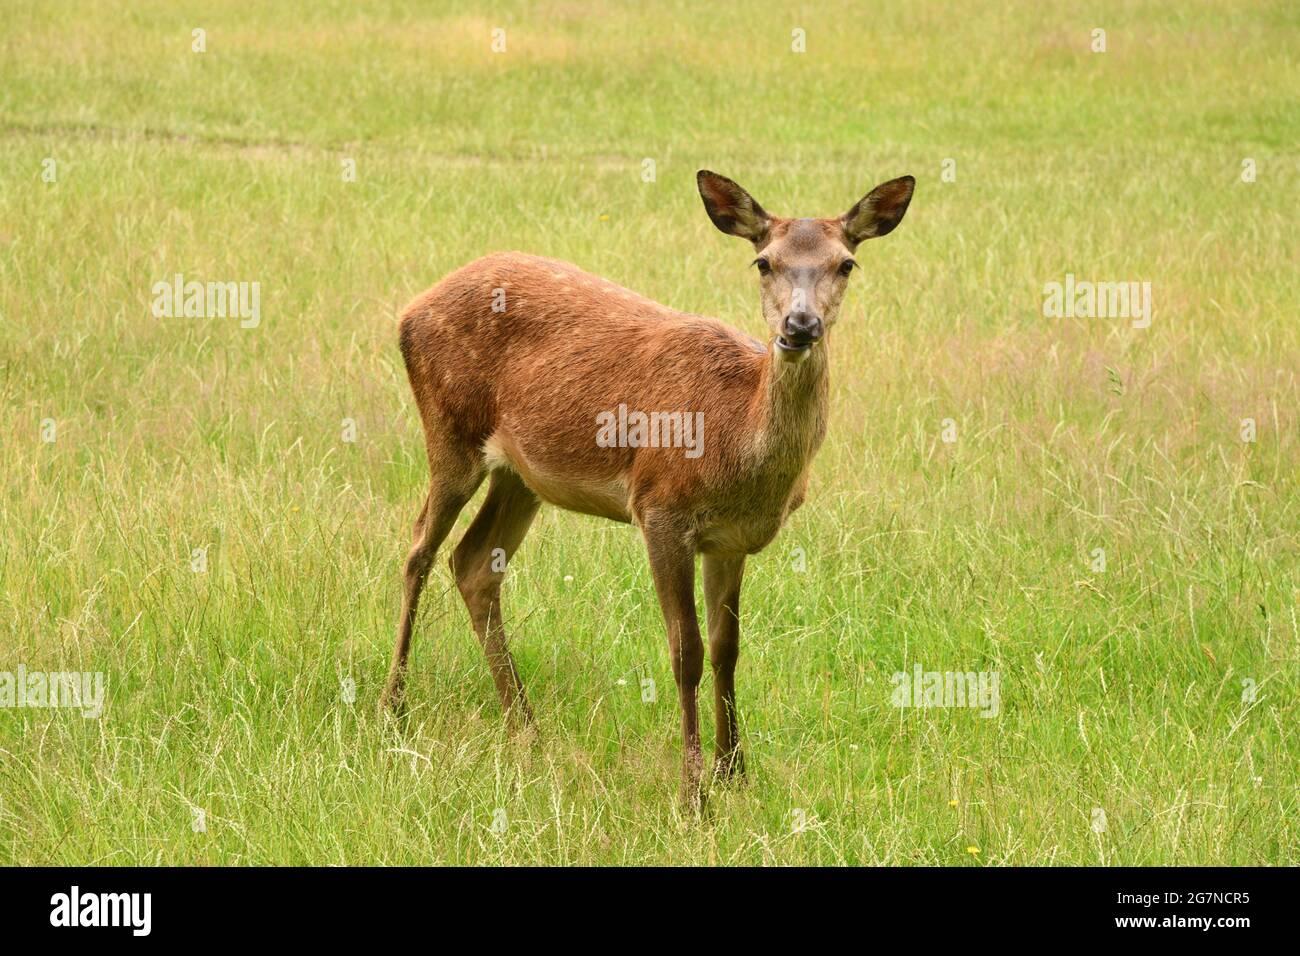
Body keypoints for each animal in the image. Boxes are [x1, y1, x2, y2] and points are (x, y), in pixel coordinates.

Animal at [379, 171, 920, 806]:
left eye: (845, 264)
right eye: (763, 261)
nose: (799, 326)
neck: (736, 441)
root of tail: (409, 310)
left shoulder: (730, 540)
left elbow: (727, 648)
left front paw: (735, 772)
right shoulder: (661, 506)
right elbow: (686, 649)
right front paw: (693, 792)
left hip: (520, 474)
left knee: (472, 563)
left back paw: (525, 727)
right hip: (450, 428)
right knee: (419, 549)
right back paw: (394, 707)